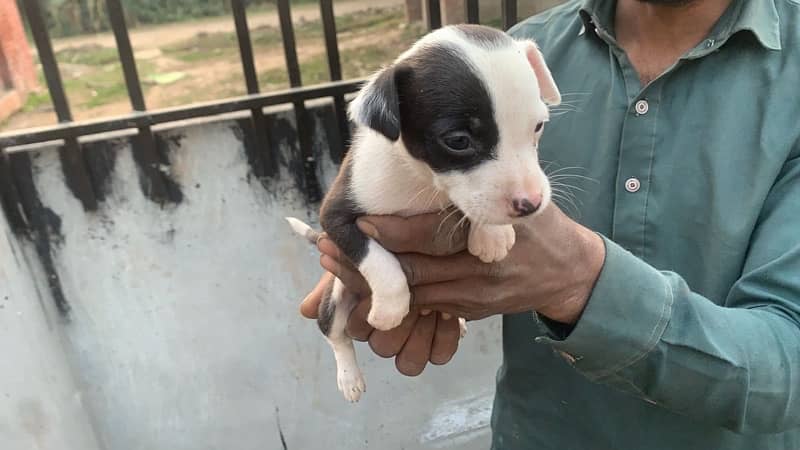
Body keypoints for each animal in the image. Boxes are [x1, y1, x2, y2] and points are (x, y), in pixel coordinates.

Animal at [288, 24, 556, 400]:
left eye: (538, 127)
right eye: (458, 141)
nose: (531, 202)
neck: (421, 182)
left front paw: (492, 234)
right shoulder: (335, 215)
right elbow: (377, 257)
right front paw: (391, 305)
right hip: (336, 296)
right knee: (334, 332)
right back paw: (349, 377)